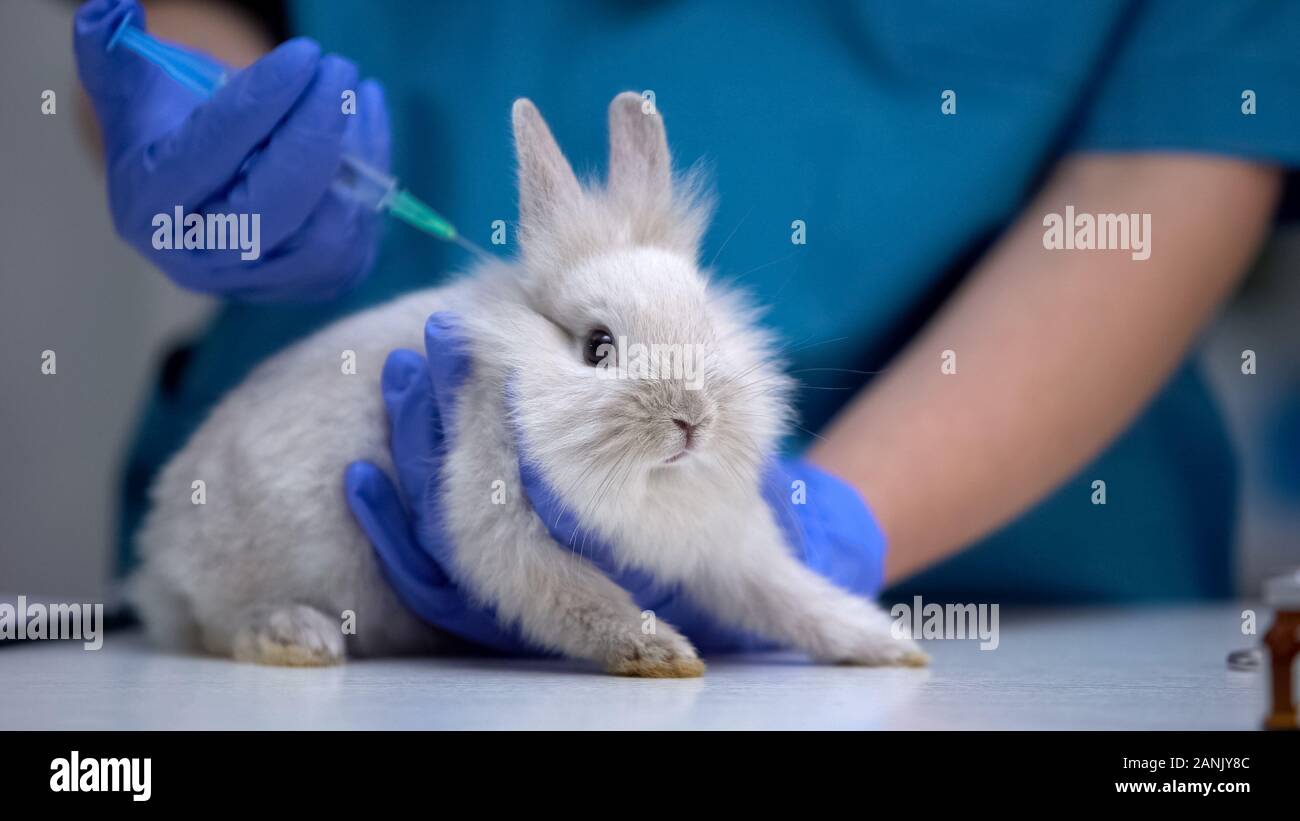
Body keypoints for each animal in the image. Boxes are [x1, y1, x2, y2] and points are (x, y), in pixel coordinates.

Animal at [129, 92, 925, 675]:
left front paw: (889, 647)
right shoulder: (498, 524)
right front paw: (664, 655)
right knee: (219, 625)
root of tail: (158, 552)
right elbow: (578, 598)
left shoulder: (727, 550)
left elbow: (792, 598)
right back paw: (297, 637)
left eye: (705, 321)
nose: (692, 419)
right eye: (598, 347)